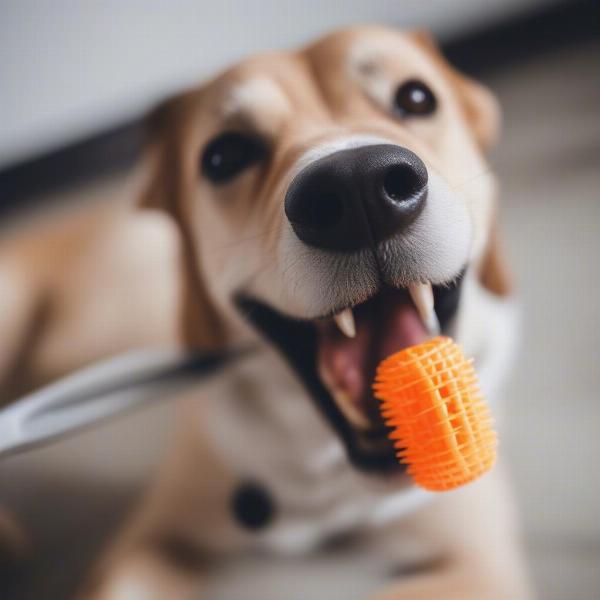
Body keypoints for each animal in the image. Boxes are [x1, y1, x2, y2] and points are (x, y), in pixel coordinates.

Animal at [0, 25, 532, 596]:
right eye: (223, 156)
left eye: (416, 98)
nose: (358, 188)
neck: (325, 467)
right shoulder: (148, 539)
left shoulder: (482, 564)